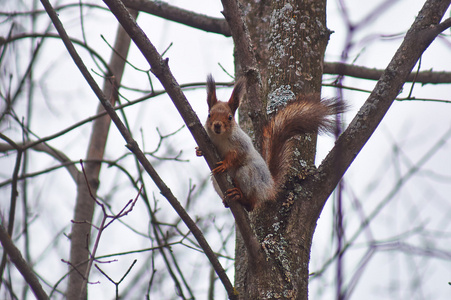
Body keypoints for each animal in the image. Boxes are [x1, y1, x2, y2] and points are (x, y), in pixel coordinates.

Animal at [198, 74, 346, 211]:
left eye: (229, 117)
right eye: (209, 115)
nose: (217, 125)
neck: (220, 137)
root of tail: (270, 187)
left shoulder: (241, 143)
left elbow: (237, 155)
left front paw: (224, 164)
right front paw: (199, 151)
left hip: (249, 175)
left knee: (251, 203)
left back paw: (240, 196)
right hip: (217, 182)